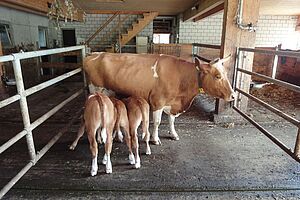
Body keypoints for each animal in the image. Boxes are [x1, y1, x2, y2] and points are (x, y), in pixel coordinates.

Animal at [83, 52, 236, 145]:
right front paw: (155, 139)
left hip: (111, 93)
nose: (233, 96)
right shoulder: (158, 101)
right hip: (96, 90)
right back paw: (99, 138)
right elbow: (157, 122)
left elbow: (171, 120)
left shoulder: (173, 104)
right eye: (217, 76)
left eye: (226, 73)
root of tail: (95, 54)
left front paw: (173, 134)